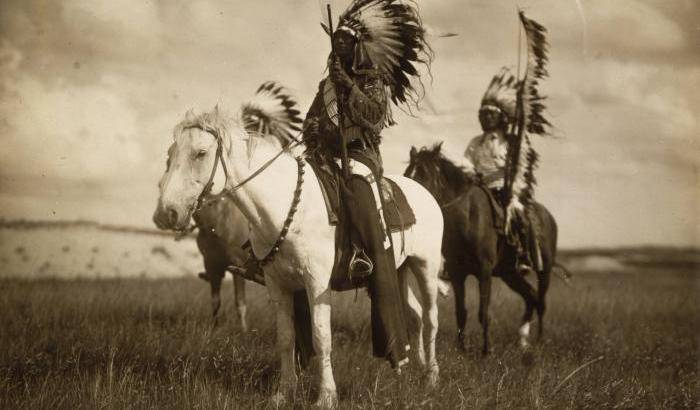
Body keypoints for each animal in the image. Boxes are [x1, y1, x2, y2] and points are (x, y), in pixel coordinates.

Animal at [155, 89, 442, 406]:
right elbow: (285, 338)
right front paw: (284, 392)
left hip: (425, 268)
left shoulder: (316, 284)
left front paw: (326, 397)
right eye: (169, 155)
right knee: (414, 315)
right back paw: (411, 368)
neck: (285, 207)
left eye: (201, 153)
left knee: (430, 318)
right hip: (400, 269)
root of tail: (424, 192)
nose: (166, 213)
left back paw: (431, 377)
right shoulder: (278, 285)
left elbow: (321, 338)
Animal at [404, 143, 568, 352]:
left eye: (424, 174)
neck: (468, 217)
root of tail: (548, 217)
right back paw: (522, 341)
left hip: (543, 271)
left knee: (541, 302)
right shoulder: (458, 273)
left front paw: (486, 350)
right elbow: (461, 312)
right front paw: (462, 349)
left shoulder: (484, 271)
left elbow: (483, 312)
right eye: (407, 173)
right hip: (510, 274)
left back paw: (539, 340)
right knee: (530, 297)